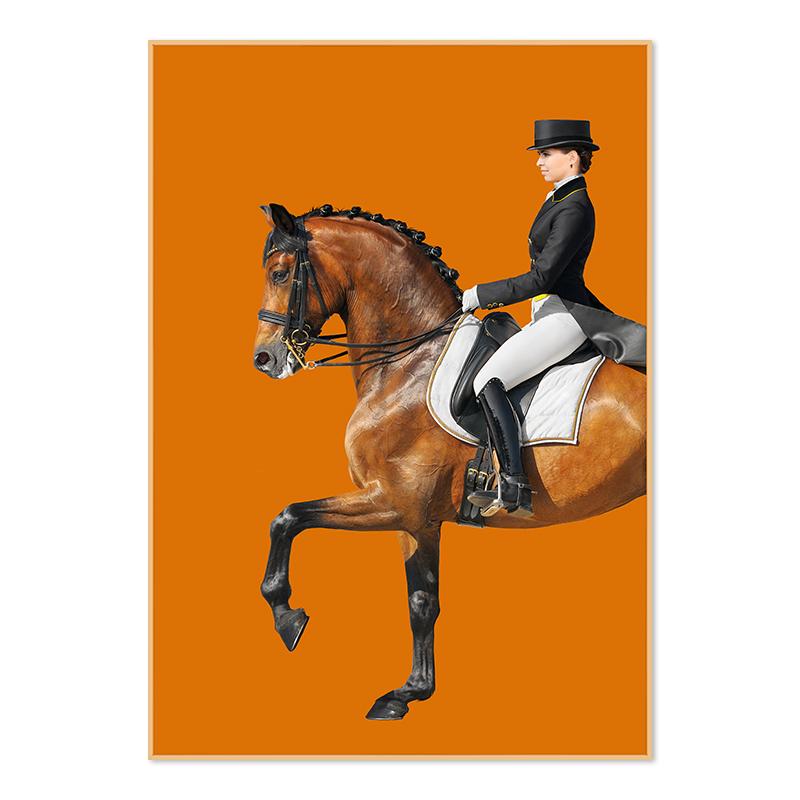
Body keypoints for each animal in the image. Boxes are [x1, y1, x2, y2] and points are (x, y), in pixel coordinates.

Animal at [253, 202, 647, 721]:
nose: (264, 357)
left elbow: (288, 518)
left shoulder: (393, 501)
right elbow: (422, 601)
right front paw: (410, 692)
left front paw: (287, 617)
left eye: (280, 273)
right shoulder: (414, 519)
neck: (408, 364)